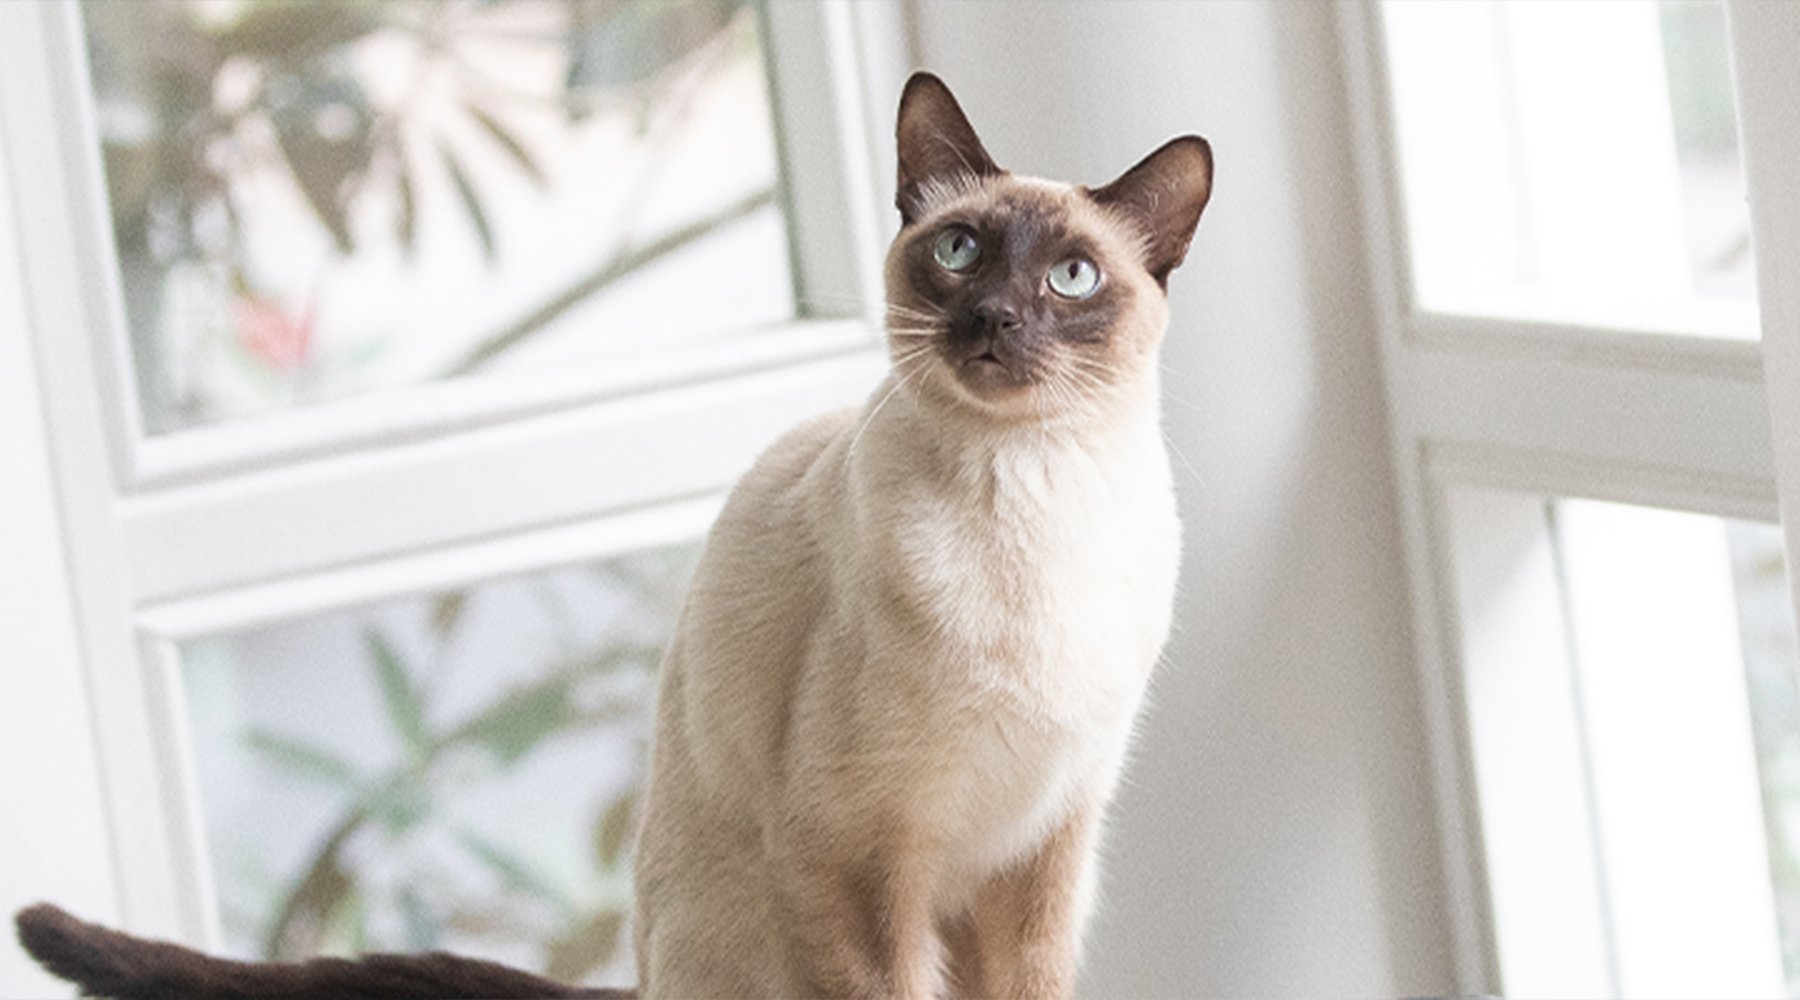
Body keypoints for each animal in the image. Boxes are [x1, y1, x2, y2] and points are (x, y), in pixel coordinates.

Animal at [10, 72, 1209, 1000]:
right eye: (959, 250)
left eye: (1070, 277)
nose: (994, 319)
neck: (1034, 501)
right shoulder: (859, 859)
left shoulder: (1044, 853)